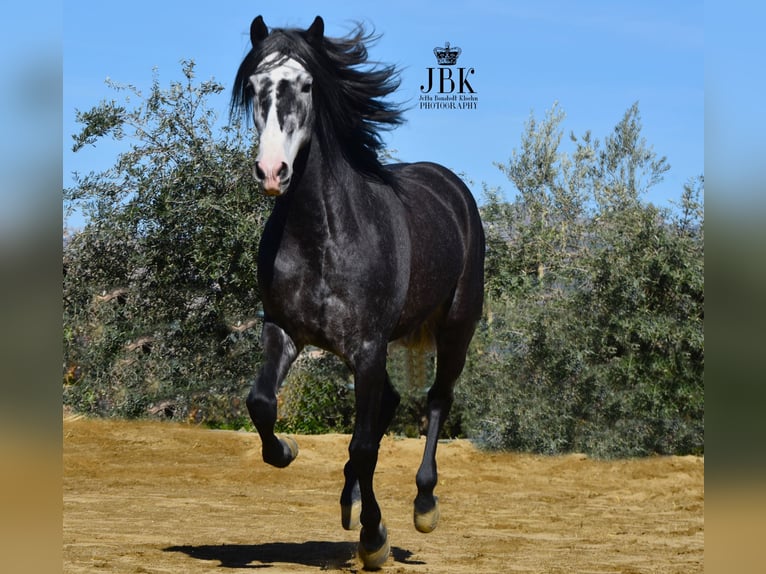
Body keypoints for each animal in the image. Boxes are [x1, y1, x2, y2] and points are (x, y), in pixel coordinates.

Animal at [230, 15, 485, 569]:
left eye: (307, 85)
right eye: (255, 87)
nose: (272, 172)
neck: (323, 236)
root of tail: (451, 187)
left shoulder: (368, 347)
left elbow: (366, 446)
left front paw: (374, 539)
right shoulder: (283, 331)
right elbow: (261, 403)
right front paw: (287, 450)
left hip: (457, 327)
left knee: (436, 401)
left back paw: (423, 505)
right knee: (386, 406)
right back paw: (350, 501)